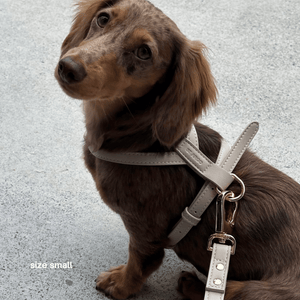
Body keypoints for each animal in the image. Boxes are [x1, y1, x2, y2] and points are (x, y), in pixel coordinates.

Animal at [55, 0, 300, 298]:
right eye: (103, 19)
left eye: (144, 52)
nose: (68, 67)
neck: (142, 143)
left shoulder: (146, 232)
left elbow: (140, 264)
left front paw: (120, 285)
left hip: (252, 291)